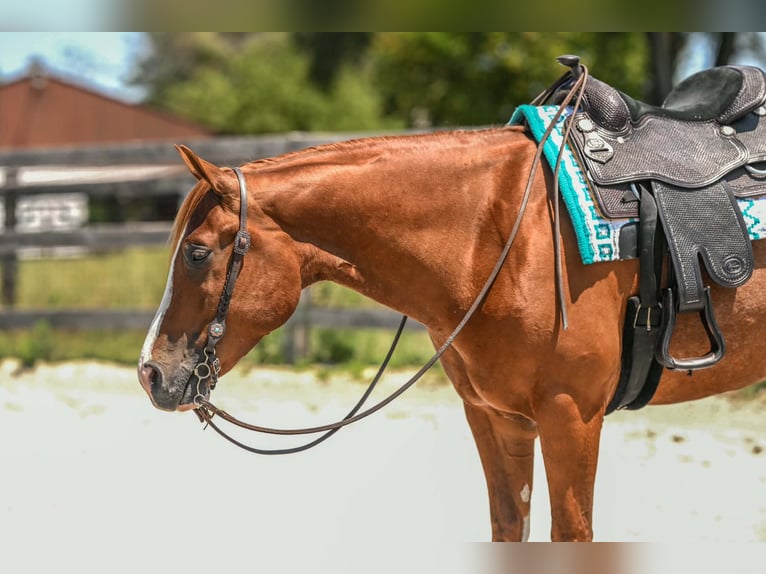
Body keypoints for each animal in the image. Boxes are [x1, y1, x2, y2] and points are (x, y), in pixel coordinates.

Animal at [137, 126, 766, 541]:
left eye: (196, 253)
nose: (150, 372)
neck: (505, 232)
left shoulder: (572, 415)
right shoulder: (496, 418)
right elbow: (509, 528)